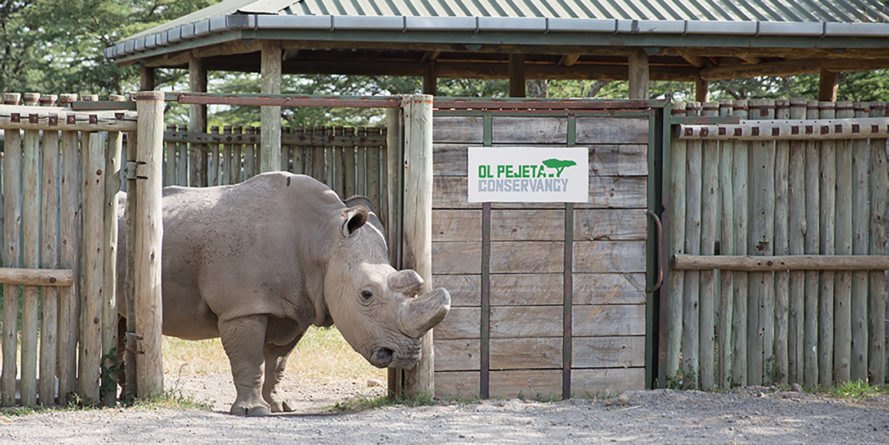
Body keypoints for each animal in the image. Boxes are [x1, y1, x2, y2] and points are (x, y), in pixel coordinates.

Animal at [116, 172, 450, 416]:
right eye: (366, 294)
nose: (406, 356)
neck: (323, 240)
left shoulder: (296, 309)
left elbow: (278, 362)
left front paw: (280, 406)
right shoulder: (243, 307)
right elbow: (249, 358)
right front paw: (253, 412)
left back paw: (122, 396)